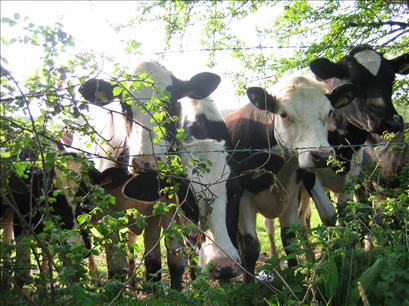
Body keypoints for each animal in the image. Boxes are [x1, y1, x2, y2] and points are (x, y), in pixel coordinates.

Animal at [223, 73, 356, 280]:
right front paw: (249, 284)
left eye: (329, 113)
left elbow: (289, 239)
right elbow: (251, 246)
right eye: (284, 114)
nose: (322, 156)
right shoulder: (242, 196)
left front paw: (294, 276)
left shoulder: (292, 193)